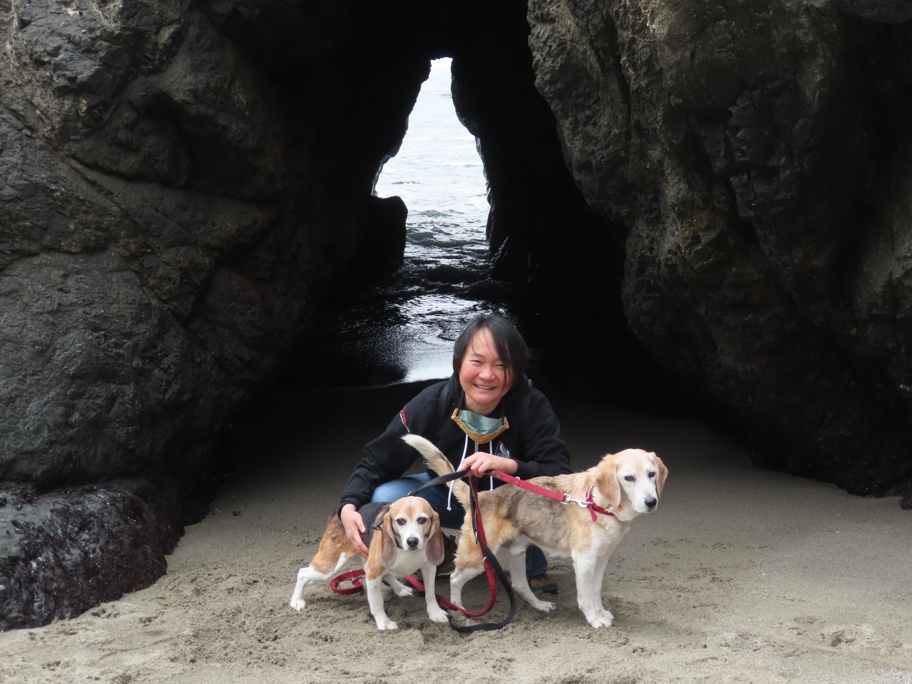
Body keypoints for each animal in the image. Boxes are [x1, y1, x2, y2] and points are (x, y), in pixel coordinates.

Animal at [288, 492, 448, 632]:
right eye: (400, 521)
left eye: (422, 520)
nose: (412, 541)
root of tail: (336, 515)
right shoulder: (372, 573)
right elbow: (377, 603)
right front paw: (384, 623)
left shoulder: (429, 568)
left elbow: (430, 593)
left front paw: (435, 613)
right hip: (329, 567)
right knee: (302, 573)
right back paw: (297, 600)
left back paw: (399, 588)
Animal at [402, 436, 668, 628]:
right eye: (628, 478)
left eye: (651, 474)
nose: (651, 502)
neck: (596, 501)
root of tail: (481, 497)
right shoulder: (584, 561)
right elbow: (585, 597)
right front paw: (594, 619)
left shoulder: (601, 559)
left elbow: (595, 591)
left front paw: (601, 612)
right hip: (477, 558)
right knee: (456, 579)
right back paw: (461, 610)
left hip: (516, 553)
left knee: (520, 585)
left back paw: (539, 605)